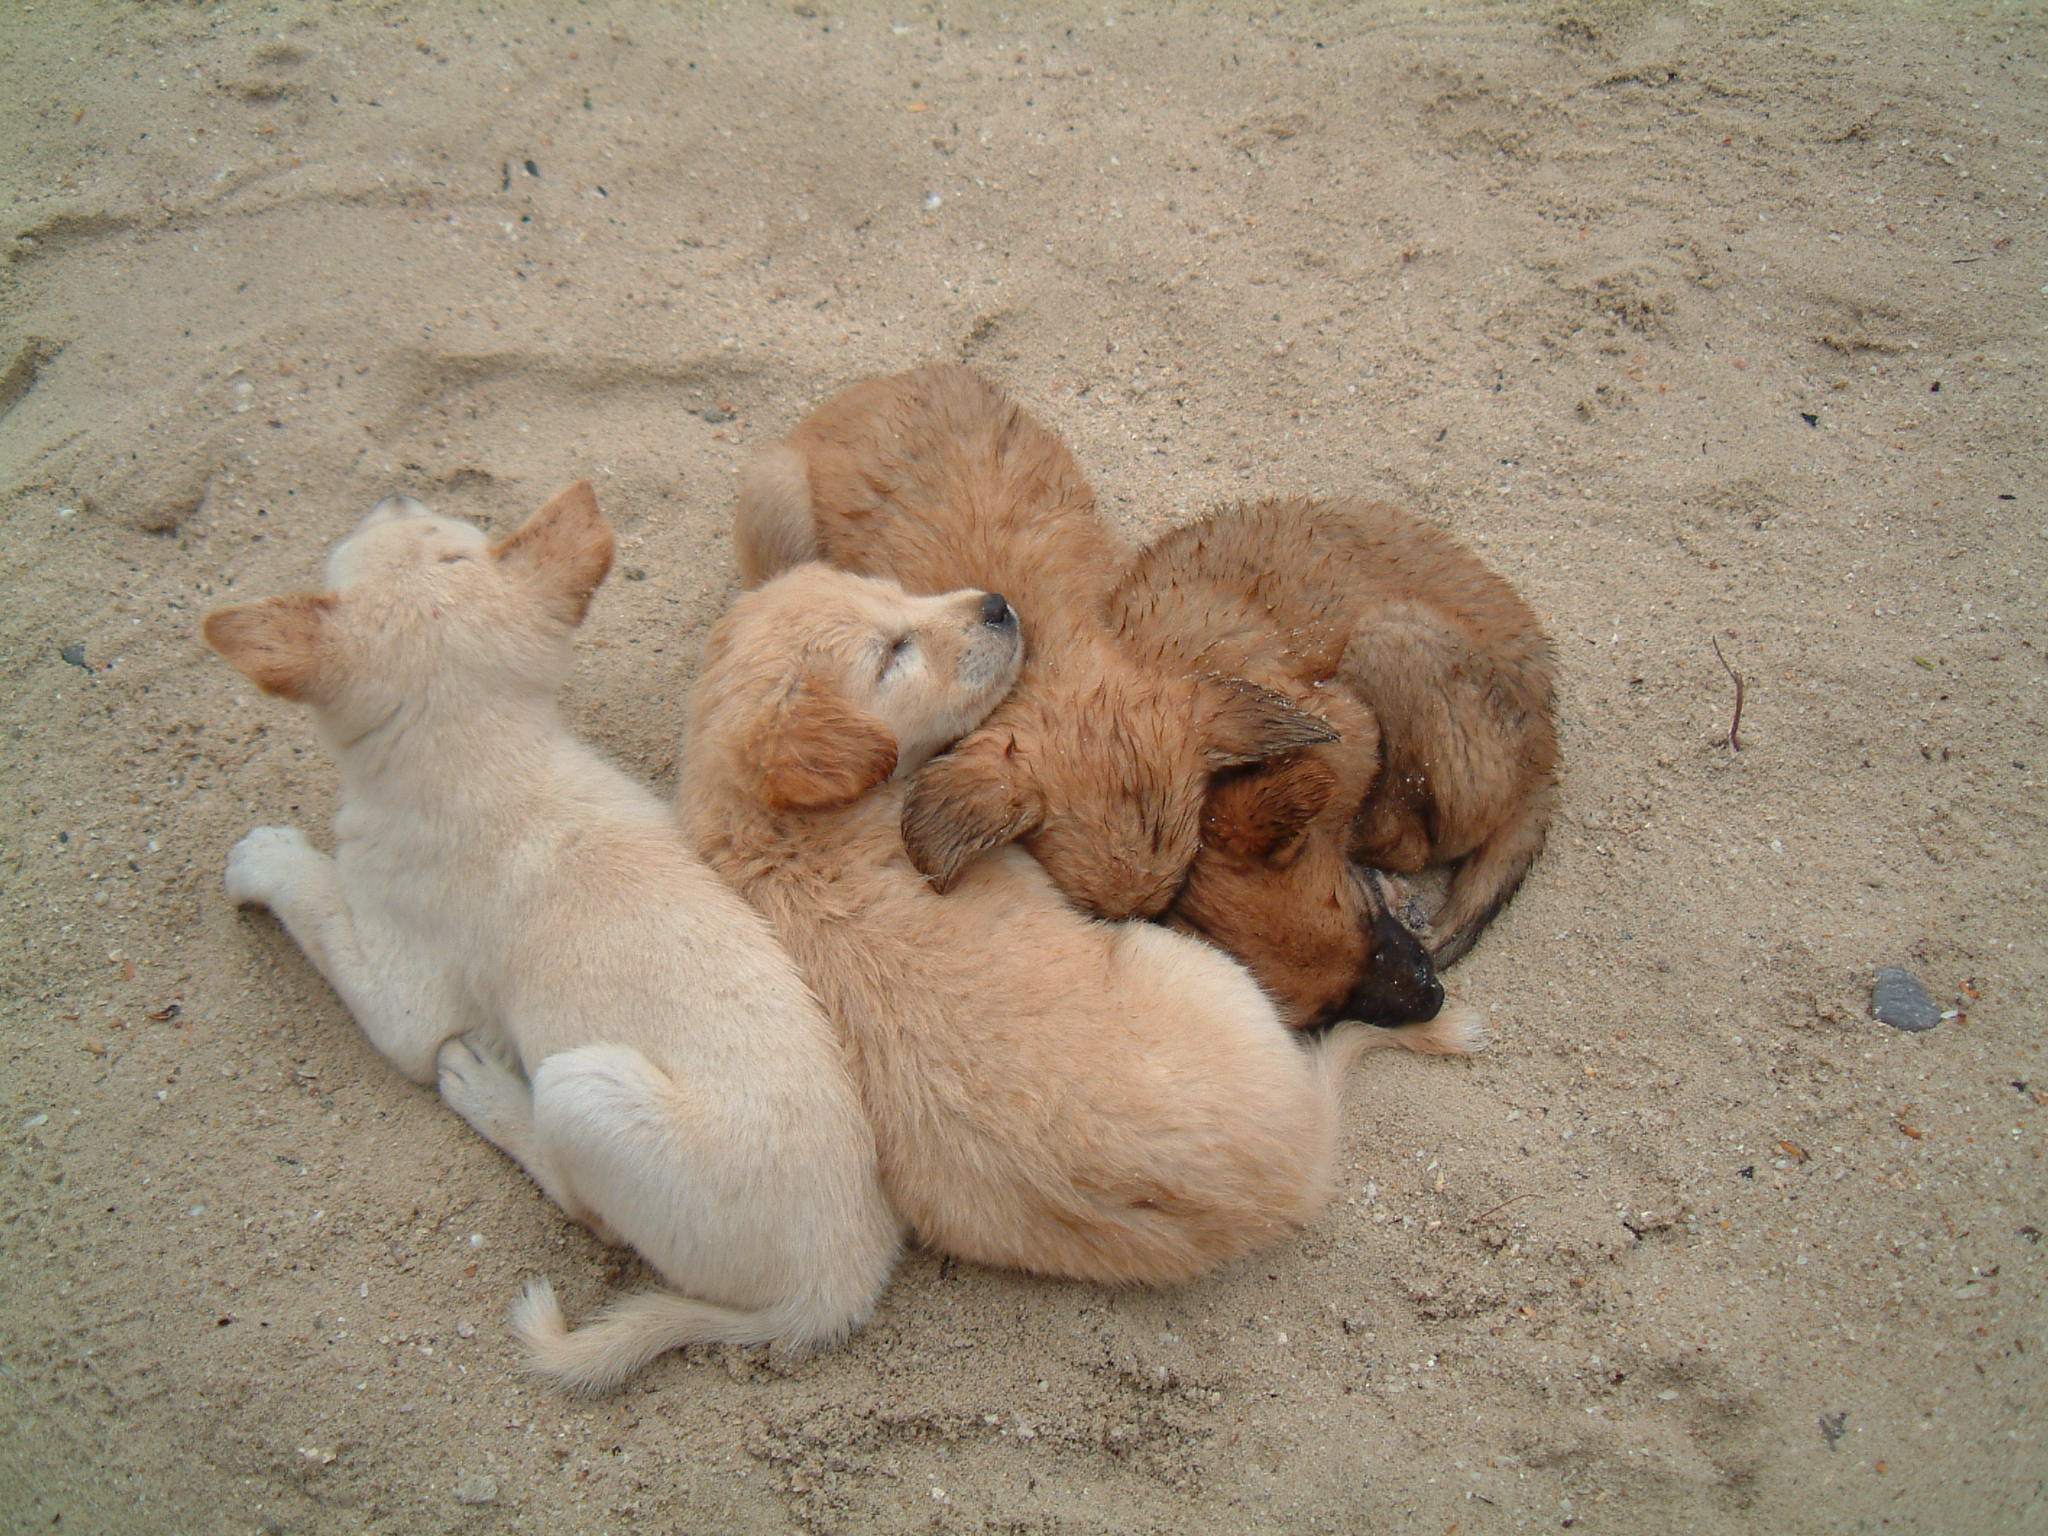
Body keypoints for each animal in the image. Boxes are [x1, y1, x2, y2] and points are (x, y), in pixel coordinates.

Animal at [204, 483, 900, 1392]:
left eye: (355, 548)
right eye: (454, 538)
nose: (394, 492)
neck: (487, 758)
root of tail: (839, 1287)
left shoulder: (402, 1000)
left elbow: (317, 899)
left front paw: (265, 857)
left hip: (579, 1085)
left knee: (583, 1205)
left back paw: (486, 1092)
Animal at [674, 562, 1485, 1286]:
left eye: (890, 590)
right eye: (891, 655)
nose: (998, 604)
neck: (780, 826)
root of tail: (1286, 1179)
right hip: (1190, 964)